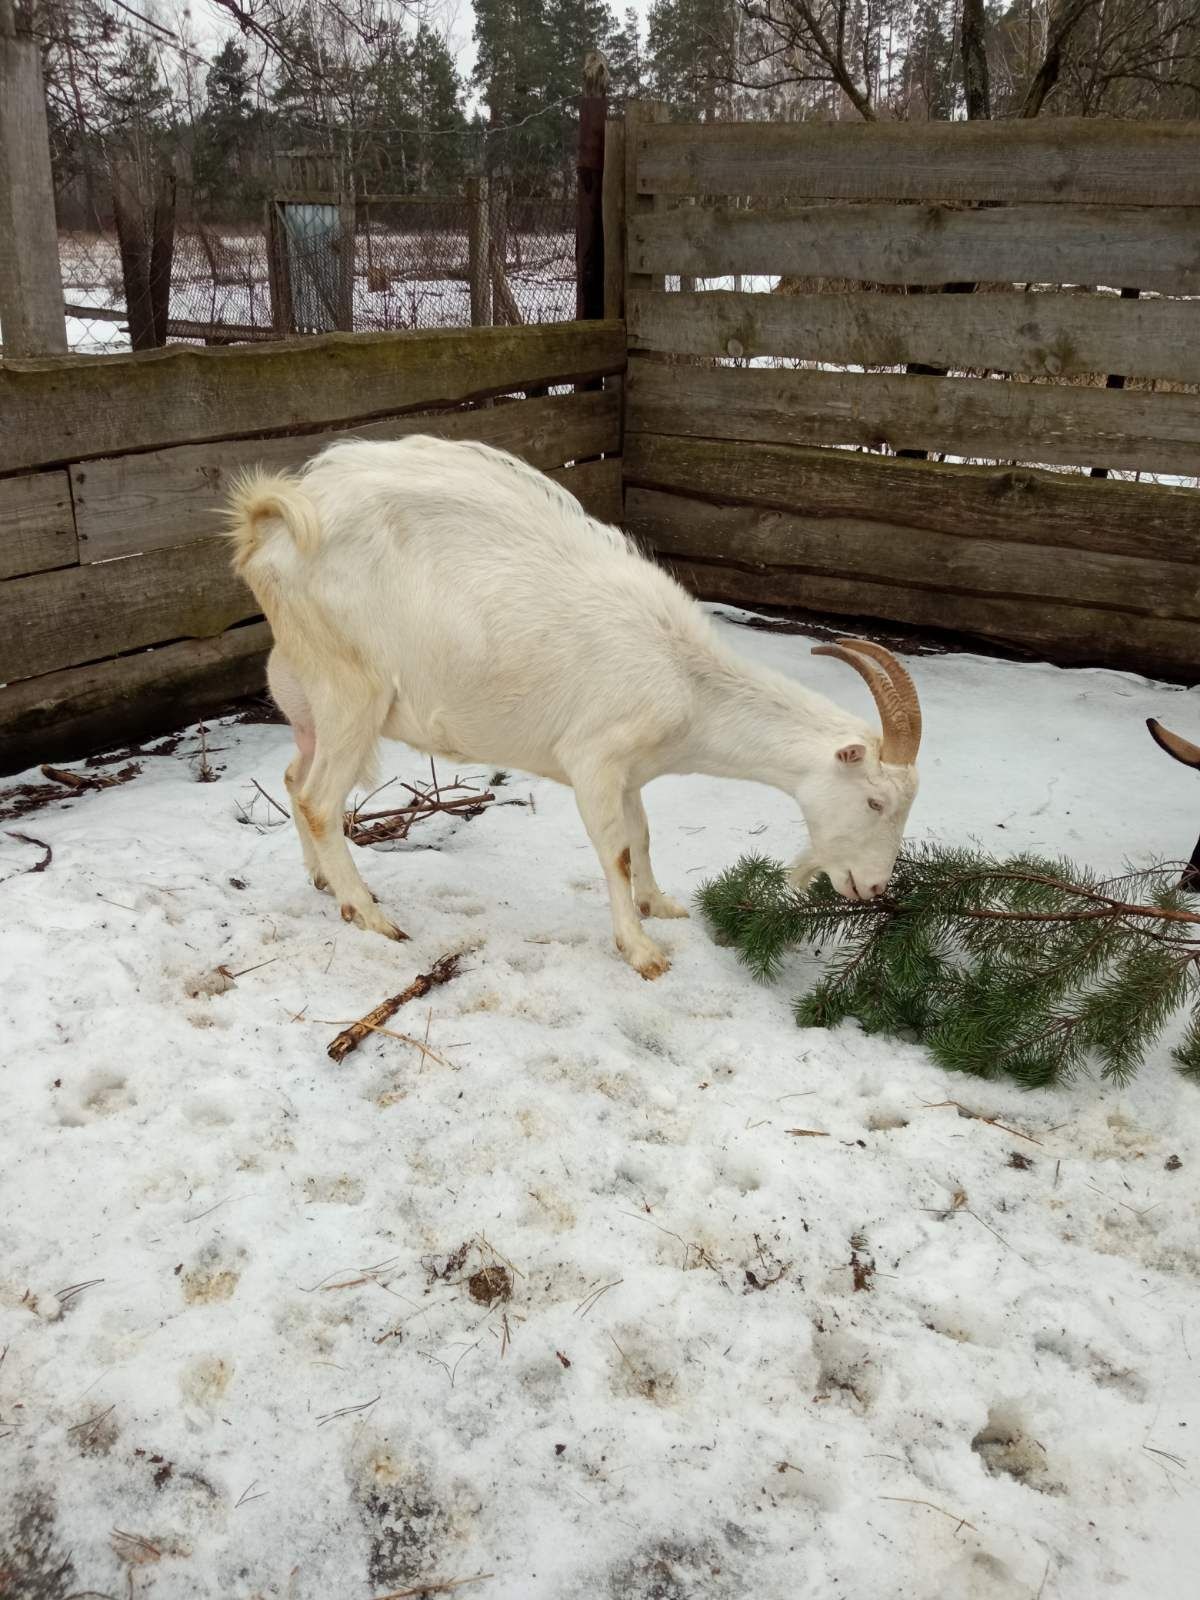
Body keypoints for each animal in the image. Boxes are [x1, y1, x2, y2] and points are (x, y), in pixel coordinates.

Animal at [227, 435, 921, 972]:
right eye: (875, 801)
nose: (874, 888)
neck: (687, 682)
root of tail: (273, 523)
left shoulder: (631, 771)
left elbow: (643, 834)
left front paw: (660, 905)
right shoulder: (594, 758)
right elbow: (615, 849)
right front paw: (642, 952)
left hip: (305, 691)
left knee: (292, 778)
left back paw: (322, 880)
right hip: (353, 690)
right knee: (321, 799)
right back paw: (371, 915)